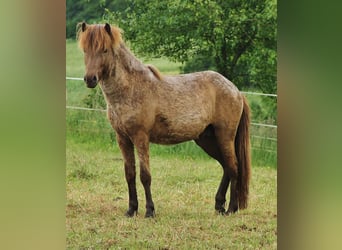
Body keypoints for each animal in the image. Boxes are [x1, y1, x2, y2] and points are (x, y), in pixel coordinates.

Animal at [77, 23, 251, 219]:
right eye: (85, 50)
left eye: (105, 50)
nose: (90, 79)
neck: (131, 88)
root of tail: (236, 90)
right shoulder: (123, 139)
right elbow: (130, 174)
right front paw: (131, 210)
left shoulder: (141, 137)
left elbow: (145, 176)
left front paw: (149, 211)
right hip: (207, 139)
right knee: (226, 167)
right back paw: (219, 205)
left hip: (224, 136)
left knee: (234, 167)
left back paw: (231, 209)